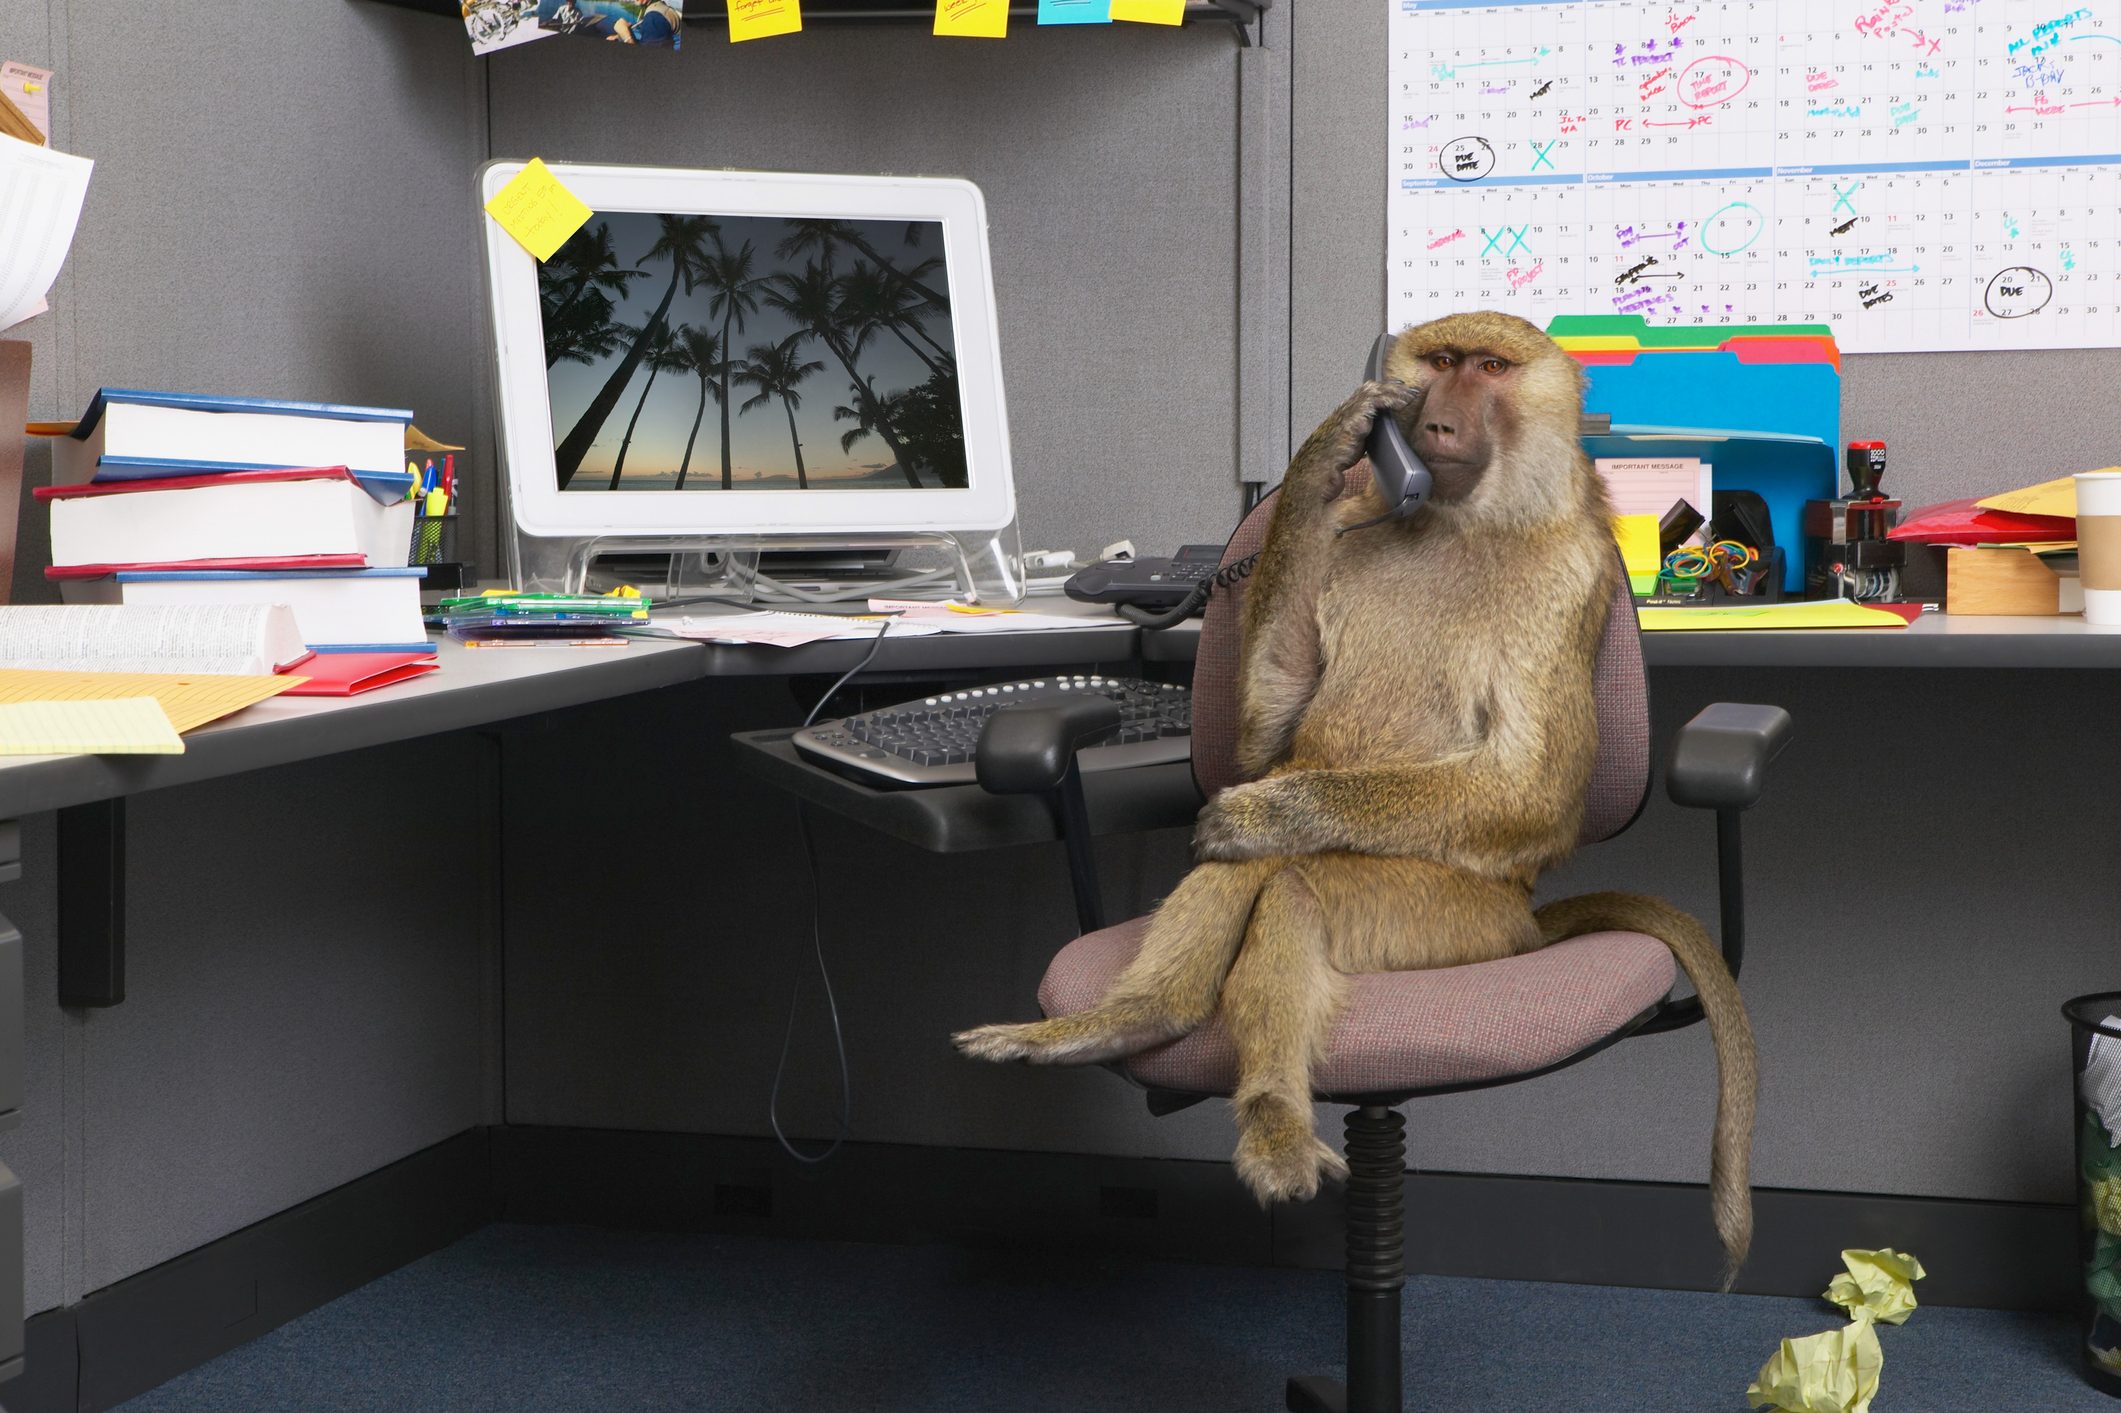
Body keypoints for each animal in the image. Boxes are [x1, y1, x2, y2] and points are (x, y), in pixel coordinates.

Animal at [954, 311, 1758, 1283]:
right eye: (1439, 362)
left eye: (1489, 368)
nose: (1435, 424)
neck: (1462, 519)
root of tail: (1527, 926)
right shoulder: (1338, 544)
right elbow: (1262, 748)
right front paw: (1320, 455)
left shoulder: (1569, 581)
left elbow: (1527, 790)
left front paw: (1262, 812)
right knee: (1241, 877)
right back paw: (1134, 1020)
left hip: (1451, 923)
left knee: (1288, 883)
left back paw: (1266, 1103)